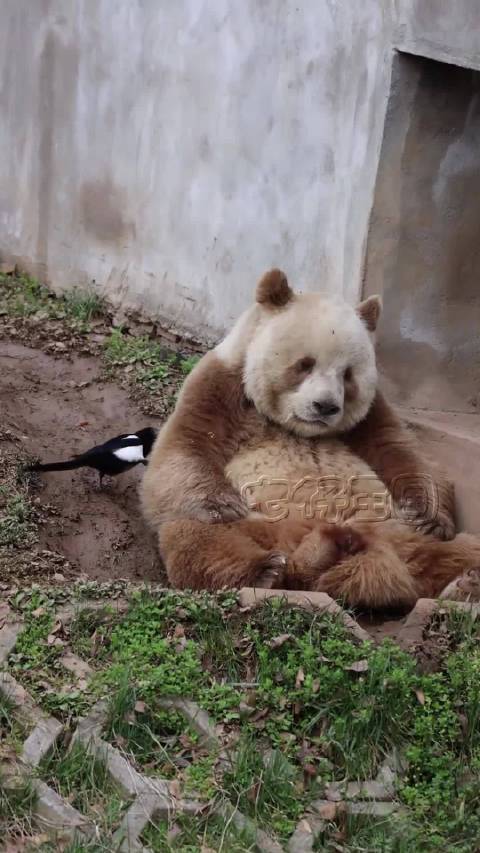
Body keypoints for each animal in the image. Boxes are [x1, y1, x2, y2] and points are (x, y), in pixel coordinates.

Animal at [141, 269, 480, 608]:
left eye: (347, 374)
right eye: (305, 364)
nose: (325, 406)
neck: (300, 428)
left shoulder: (371, 415)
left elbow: (403, 453)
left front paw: (429, 517)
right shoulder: (221, 388)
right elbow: (182, 451)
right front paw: (224, 505)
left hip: (397, 530)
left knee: (460, 550)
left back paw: (464, 583)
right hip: (263, 526)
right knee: (199, 538)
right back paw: (273, 568)